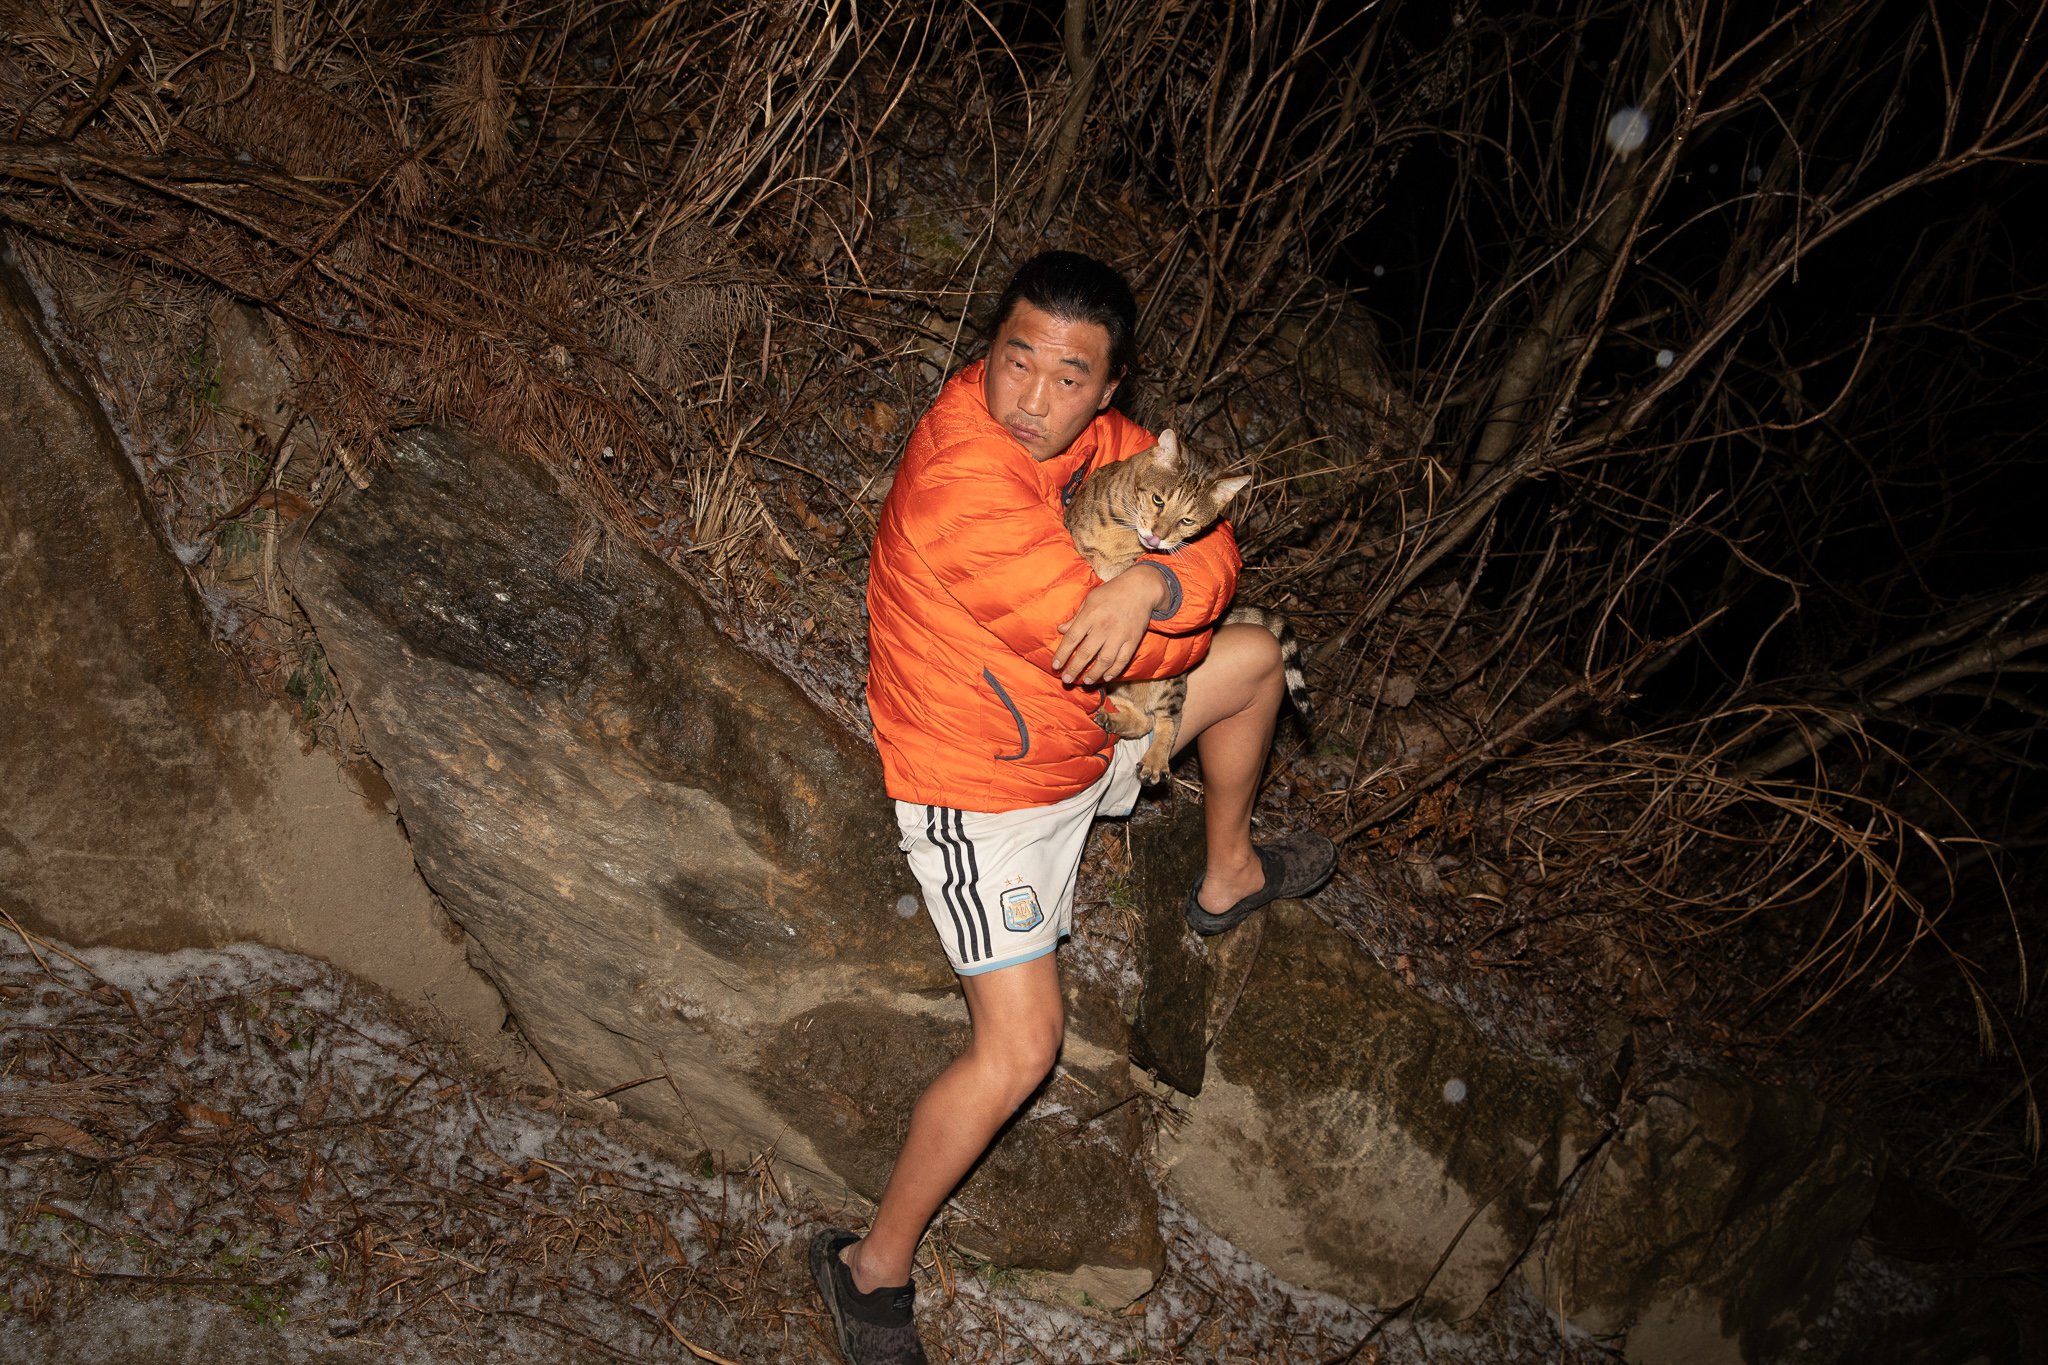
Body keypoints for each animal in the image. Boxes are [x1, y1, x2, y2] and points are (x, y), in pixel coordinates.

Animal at [1065, 429, 1313, 784]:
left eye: (1186, 520)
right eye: (1158, 500)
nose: (1156, 537)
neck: (1122, 535)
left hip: (1170, 683)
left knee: (1165, 718)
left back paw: (1155, 760)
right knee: (1142, 717)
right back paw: (1114, 719)